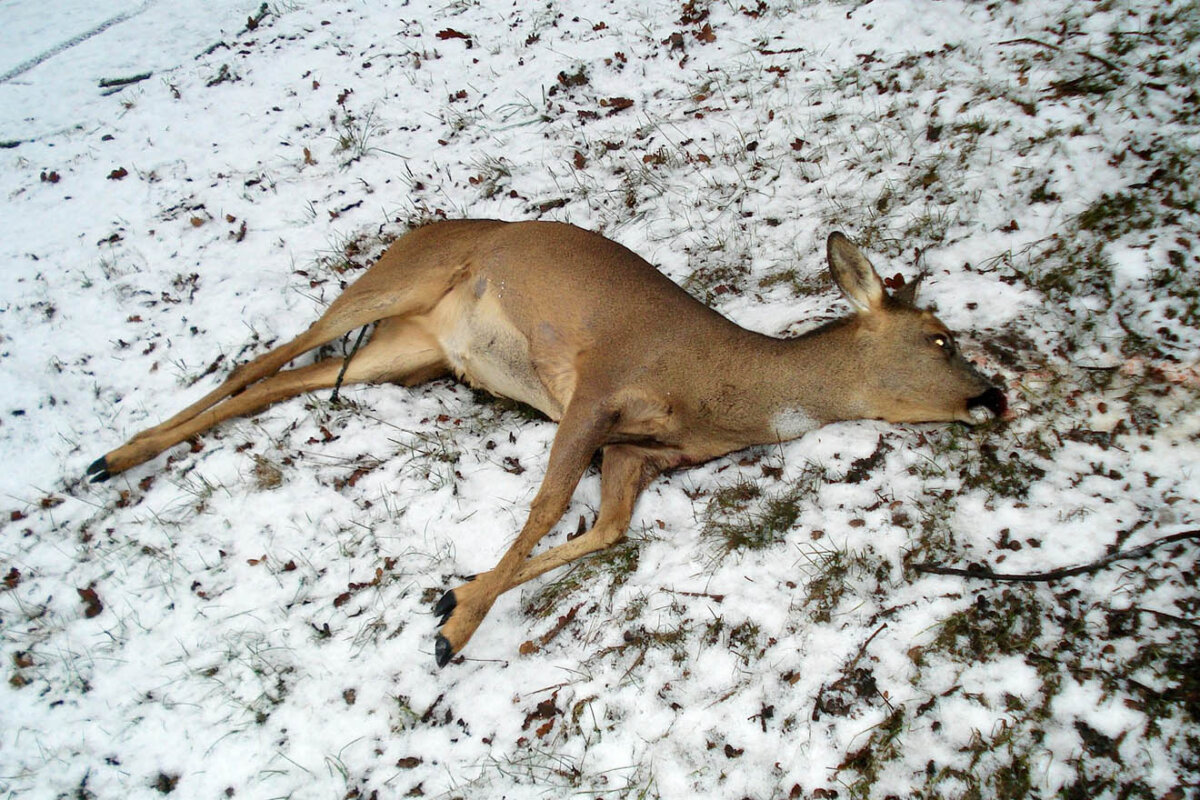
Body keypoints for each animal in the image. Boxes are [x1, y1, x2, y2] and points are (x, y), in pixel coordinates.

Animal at [88, 221, 1003, 666]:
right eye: (938, 337)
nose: (994, 395)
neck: (724, 388)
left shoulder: (639, 452)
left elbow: (606, 530)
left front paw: (452, 598)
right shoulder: (598, 384)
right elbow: (549, 501)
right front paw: (456, 631)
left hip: (412, 353)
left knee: (280, 383)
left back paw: (119, 457)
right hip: (398, 281)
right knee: (265, 355)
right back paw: (112, 455)